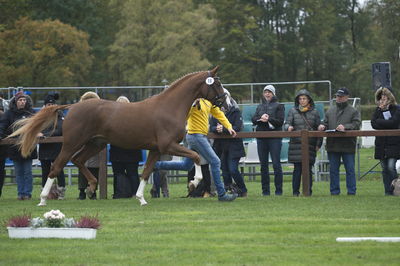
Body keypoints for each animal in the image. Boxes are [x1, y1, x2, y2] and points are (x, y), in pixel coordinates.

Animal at [10, 66, 228, 206]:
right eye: (216, 84)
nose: (225, 103)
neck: (169, 107)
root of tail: (72, 106)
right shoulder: (168, 146)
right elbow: (196, 156)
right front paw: (193, 183)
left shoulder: (156, 150)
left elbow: (146, 172)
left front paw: (141, 198)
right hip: (73, 142)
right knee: (57, 166)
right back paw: (43, 199)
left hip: (95, 144)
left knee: (78, 160)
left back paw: (91, 187)